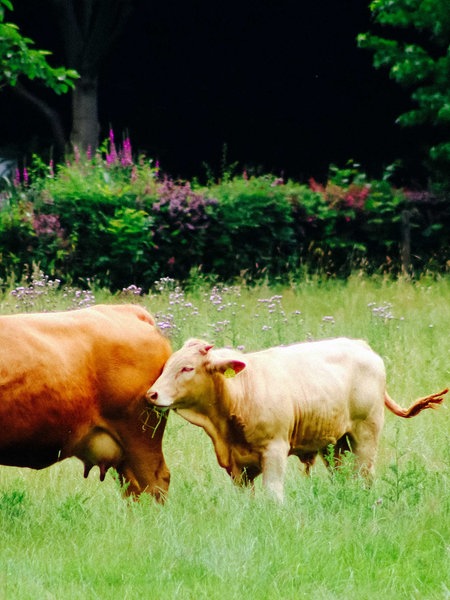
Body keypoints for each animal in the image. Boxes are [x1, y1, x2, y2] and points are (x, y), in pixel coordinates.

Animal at [146, 338, 444, 502]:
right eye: (167, 365)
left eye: (187, 368)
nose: (152, 394)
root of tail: (360, 344)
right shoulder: (236, 465)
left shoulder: (275, 450)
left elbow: (273, 493)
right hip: (334, 445)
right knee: (342, 476)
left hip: (366, 435)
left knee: (364, 475)